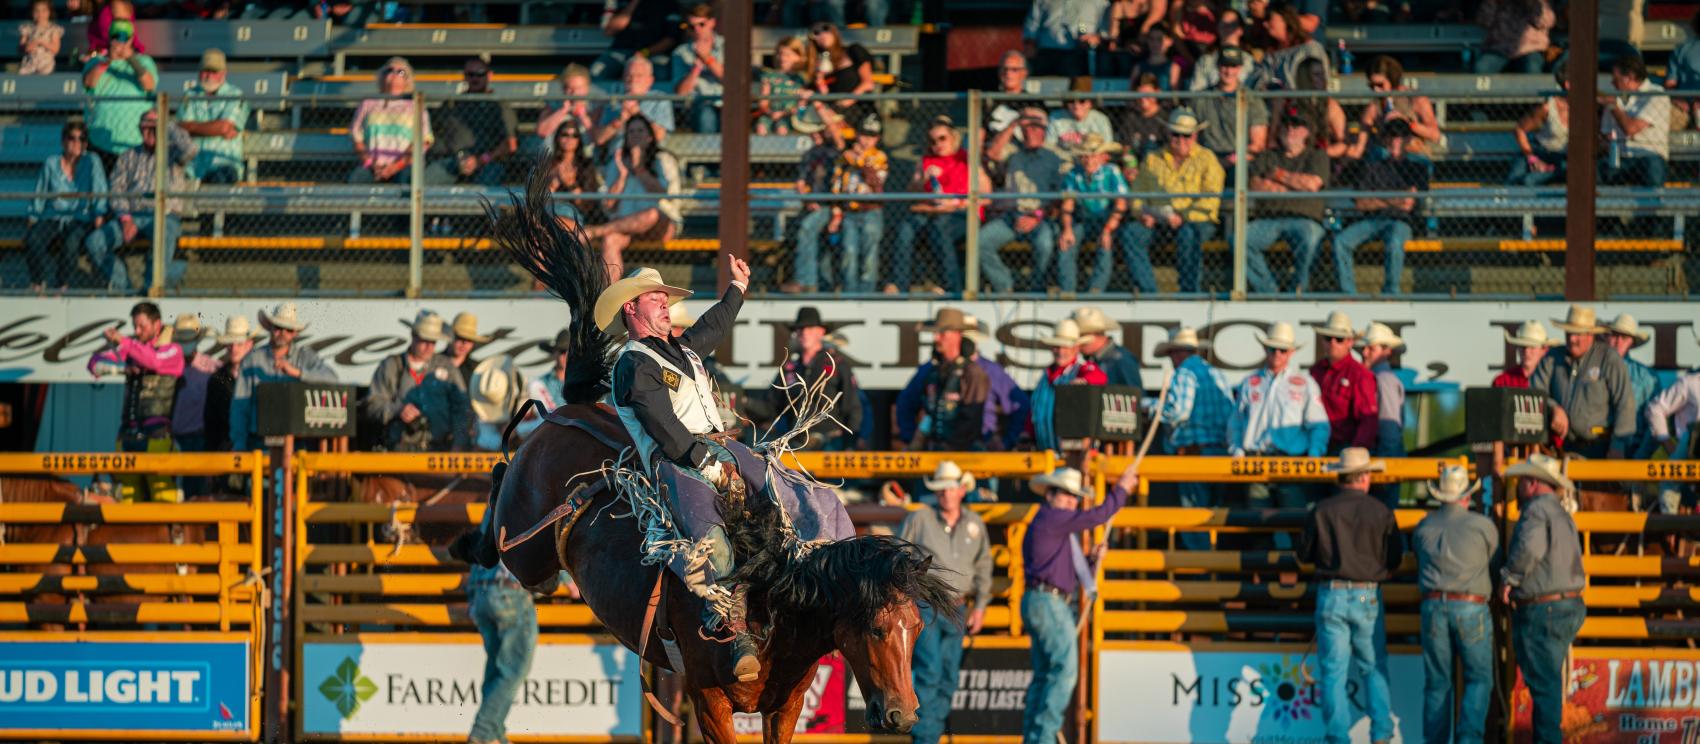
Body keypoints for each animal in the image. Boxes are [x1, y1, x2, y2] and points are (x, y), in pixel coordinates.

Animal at [473, 173, 960, 743]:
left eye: (918, 627)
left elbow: (703, 331)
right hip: (526, 542)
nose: (904, 715)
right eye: (879, 627)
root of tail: (568, 411)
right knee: (504, 515)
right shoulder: (708, 700)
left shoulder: (786, 703)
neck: (772, 594)